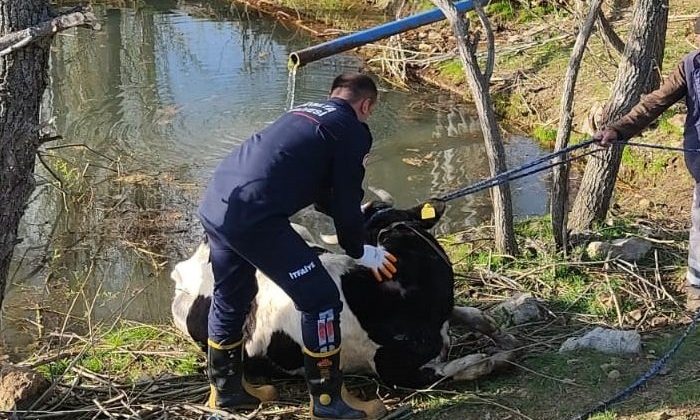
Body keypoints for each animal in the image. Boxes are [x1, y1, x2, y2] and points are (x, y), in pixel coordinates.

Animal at [171, 197, 520, 388]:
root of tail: (192, 262)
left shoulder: (445, 315)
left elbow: (477, 316)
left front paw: (505, 338)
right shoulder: (394, 371)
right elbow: (461, 369)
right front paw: (497, 359)